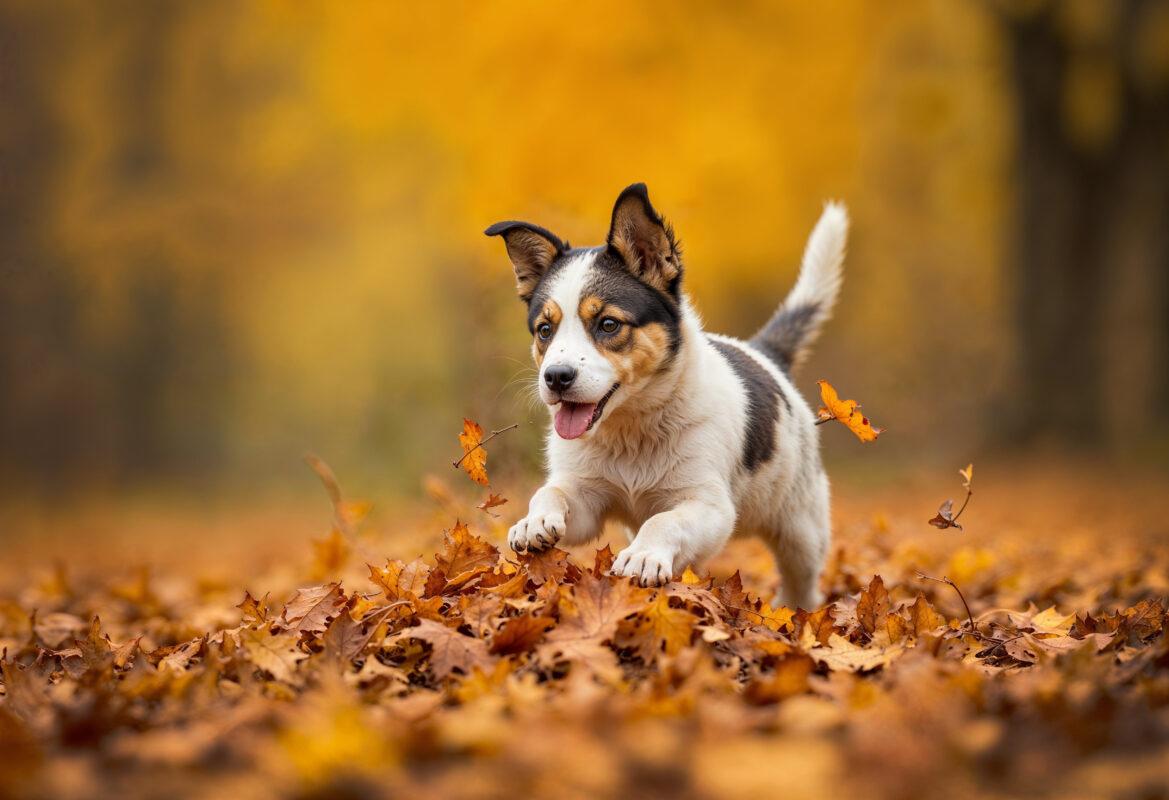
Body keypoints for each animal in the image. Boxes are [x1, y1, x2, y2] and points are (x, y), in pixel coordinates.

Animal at [486, 184, 851, 608]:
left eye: (608, 324)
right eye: (545, 329)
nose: (556, 377)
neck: (631, 429)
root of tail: (766, 353)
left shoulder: (708, 505)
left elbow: (664, 520)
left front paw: (643, 556)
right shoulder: (587, 498)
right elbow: (551, 490)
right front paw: (534, 520)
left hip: (802, 529)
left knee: (802, 582)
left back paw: (793, 612)